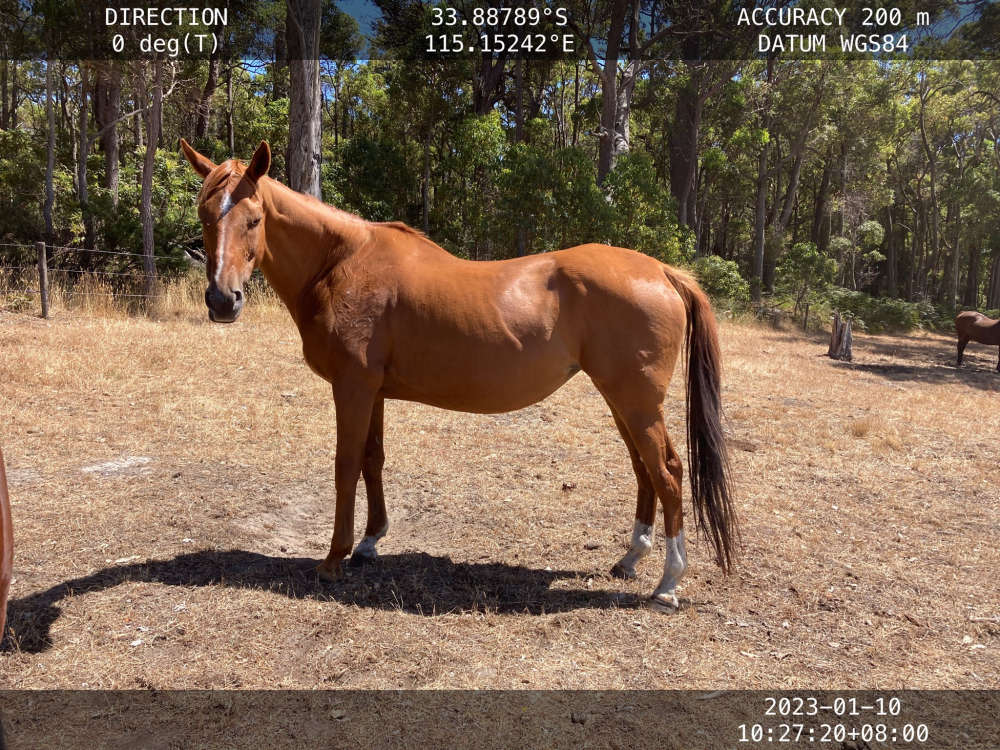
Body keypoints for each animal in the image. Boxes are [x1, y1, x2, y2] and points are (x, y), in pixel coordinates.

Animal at [180, 139, 739, 610]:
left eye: (253, 220)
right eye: (205, 215)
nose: (222, 300)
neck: (341, 265)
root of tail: (662, 271)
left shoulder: (352, 387)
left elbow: (345, 466)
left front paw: (334, 559)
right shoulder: (373, 392)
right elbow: (373, 461)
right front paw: (370, 542)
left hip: (635, 400)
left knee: (667, 471)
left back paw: (667, 584)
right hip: (622, 399)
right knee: (645, 468)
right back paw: (630, 560)